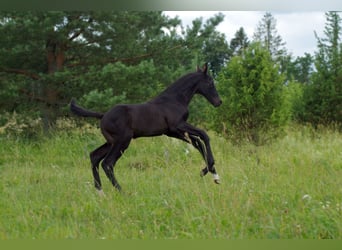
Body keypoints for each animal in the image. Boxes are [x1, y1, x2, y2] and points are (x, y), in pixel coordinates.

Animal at [71, 63, 223, 192]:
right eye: (210, 82)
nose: (219, 102)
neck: (174, 100)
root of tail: (102, 115)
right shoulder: (178, 125)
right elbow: (204, 135)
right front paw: (211, 171)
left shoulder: (173, 132)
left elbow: (198, 143)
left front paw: (210, 173)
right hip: (122, 141)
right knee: (107, 163)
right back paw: (121, 191)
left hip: (111, 142)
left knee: (94, 156)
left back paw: (100, 191)